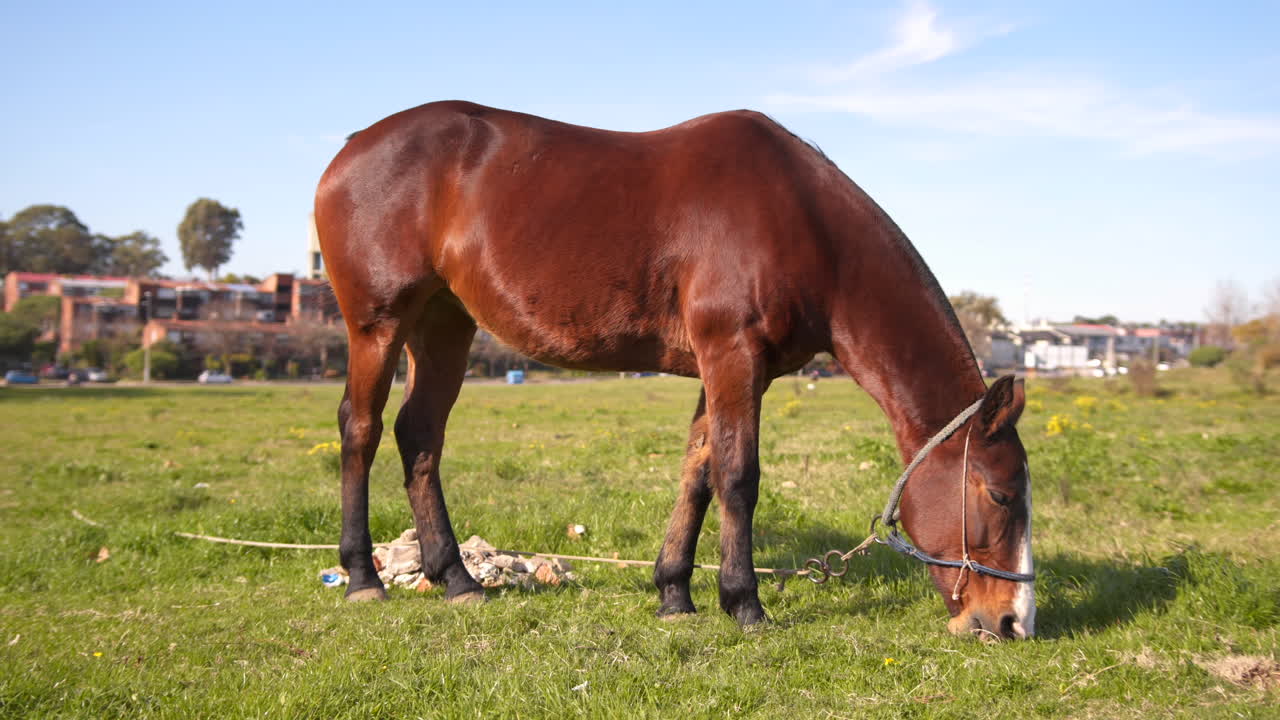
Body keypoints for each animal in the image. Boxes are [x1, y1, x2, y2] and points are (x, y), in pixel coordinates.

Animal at [315, 101, 1035, 640]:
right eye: (1001, 495)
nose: (1013, 621)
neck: (802, 220)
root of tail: (351, 149)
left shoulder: (726, 369)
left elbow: (698, 474)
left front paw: (674, 595)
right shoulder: (732, 357)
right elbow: (738, 477)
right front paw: (744, 602)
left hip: (444, 325)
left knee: (419, 436)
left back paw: (457, 580)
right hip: (378, 326)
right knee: (362, 430)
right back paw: (363, 578)